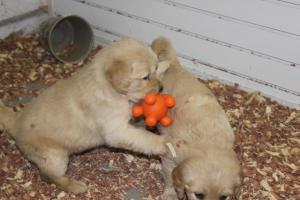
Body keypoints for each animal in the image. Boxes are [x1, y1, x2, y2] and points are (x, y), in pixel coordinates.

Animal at [0, 38, 166, 194]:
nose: (161, 88)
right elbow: (143, 137)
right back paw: (75, 186)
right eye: (145, 77)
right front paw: (163, 143)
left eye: (157, 69)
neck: (109, 89)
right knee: (49, 176)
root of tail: (16, 120)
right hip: (54, 156)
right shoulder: (116, 131)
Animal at [151, 37, 240, 200]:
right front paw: (170, 193)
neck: (209, 143)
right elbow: (169, 177)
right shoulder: (170, 157)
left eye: (224, 197)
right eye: (198, 195)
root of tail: (173, 63)